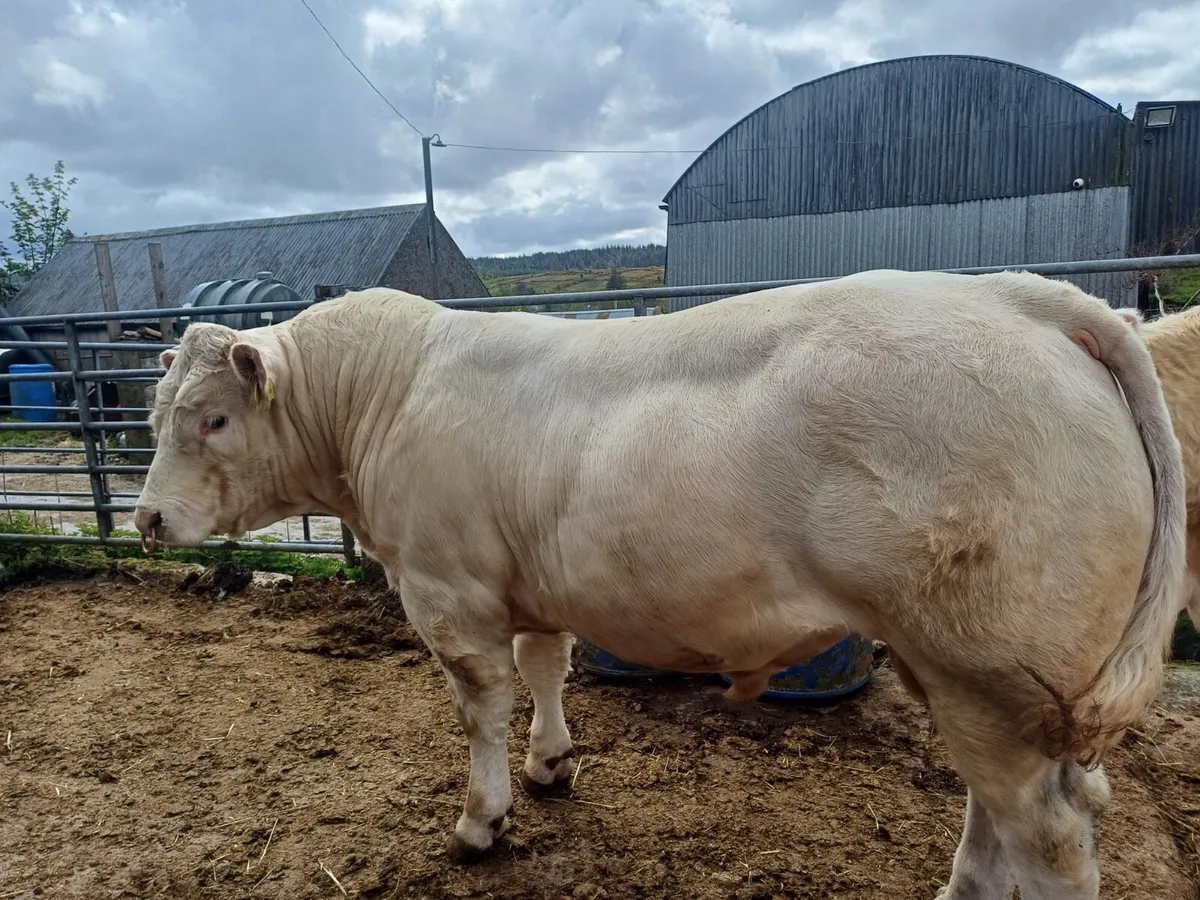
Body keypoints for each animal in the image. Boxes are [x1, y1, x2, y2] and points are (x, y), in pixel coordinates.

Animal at [132, 269, 1185, 900]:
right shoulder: (528, 583)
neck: (386, 391)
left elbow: (483, 706)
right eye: (152, 412)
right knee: (1004, 808)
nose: (146, 520)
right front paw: (552, 765)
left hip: (994, 670)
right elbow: (546, 668)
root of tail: (1026, 296)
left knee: (1051, 836)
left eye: (213, 418)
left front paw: (482, 819)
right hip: (980, 681)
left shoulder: (447, 590)